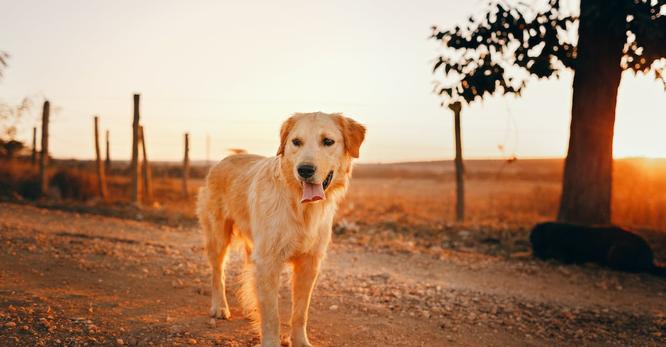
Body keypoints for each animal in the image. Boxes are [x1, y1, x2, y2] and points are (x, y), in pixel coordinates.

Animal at [195, 113, 366, 346]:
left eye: (328, 141)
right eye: (296, 142)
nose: (304, 170)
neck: (301, 208)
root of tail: (224, 160)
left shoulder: (309, 263)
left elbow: (300, 313)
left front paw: (300, 341)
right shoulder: (268, 261)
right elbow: (272, 316)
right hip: (218, 237)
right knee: (217, 273)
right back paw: (220, 307)